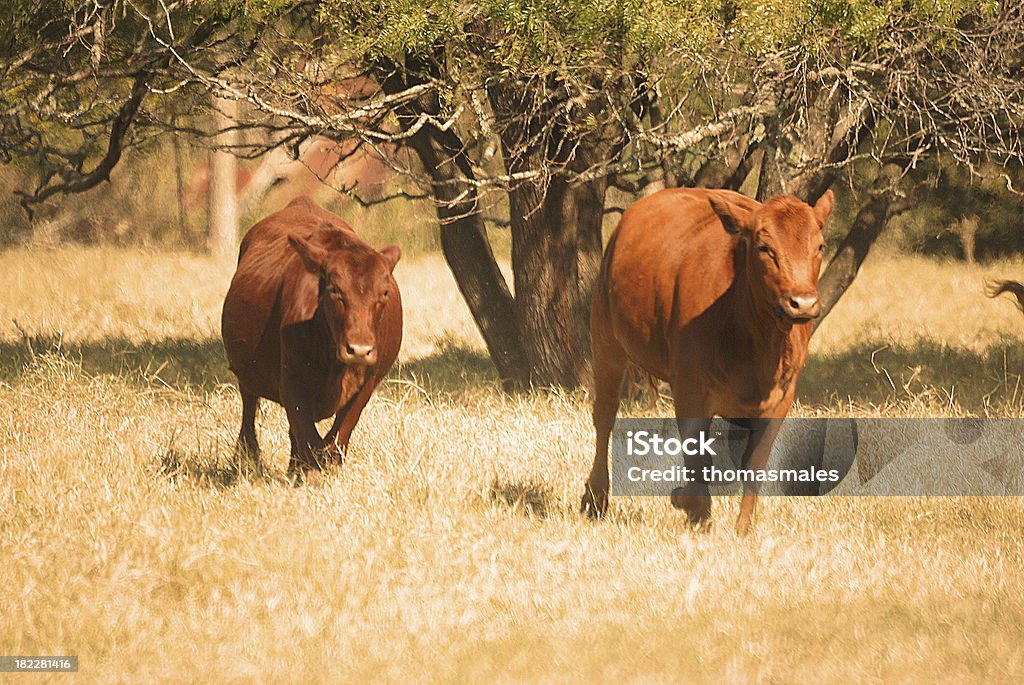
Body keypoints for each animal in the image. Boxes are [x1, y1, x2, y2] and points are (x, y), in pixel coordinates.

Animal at [222, 193, 401, 475]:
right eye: (335, 290)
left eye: (384, 292)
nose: (359, 350)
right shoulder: (292, 381)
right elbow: (308, 438)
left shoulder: (368, 381)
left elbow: (337, 438)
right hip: (247, 372)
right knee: (249, 406)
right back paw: (247, 456)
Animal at [581, 187, 835, 532]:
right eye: (763, 247)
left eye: (819, 246)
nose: (802, 302)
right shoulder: (690, 388)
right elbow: (697, 455)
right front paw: (692, 507)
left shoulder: (781, 398)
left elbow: (754, 463)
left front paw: (743, 528)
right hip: (607, 341)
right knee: (605, 415)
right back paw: (595, 497)